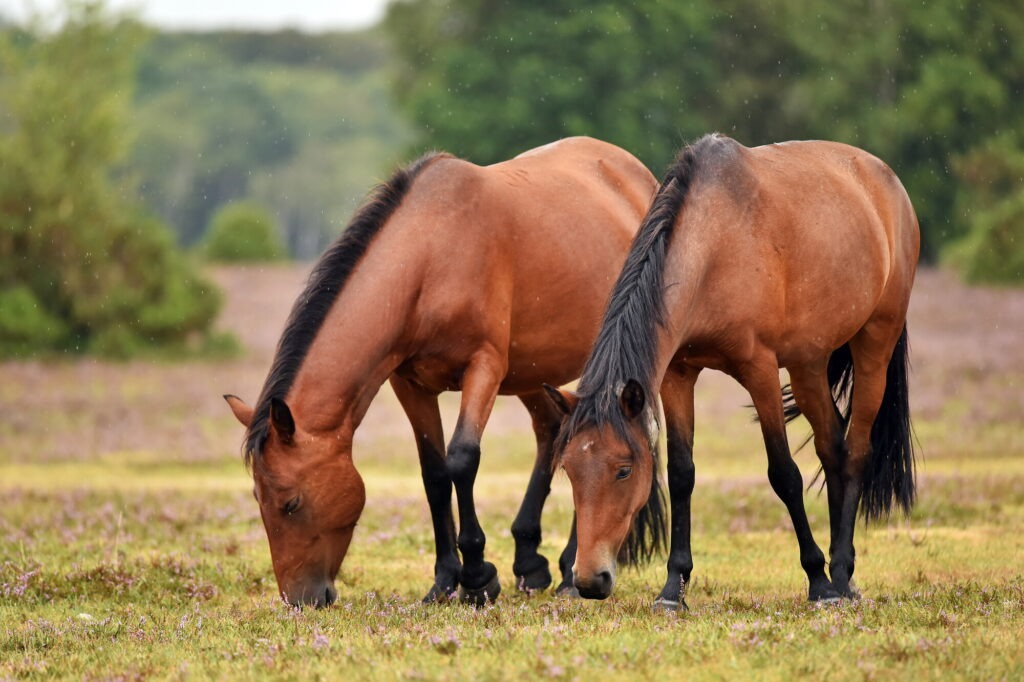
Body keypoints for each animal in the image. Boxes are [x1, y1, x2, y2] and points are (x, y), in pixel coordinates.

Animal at [224, 136, 659, 608]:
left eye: (291, 503)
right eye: (257, 498)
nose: (300, 599)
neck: (431, 257)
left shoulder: (483, 369)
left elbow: (462, 460)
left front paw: (478, 578)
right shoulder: (409, 383)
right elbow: (434, 473)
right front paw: (445, 580)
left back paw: (568, 572)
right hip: (530, 370)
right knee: (552, 430)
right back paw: (533, 563)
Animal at [546, 134, 919, 608]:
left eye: (623, 470)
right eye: (569, 469)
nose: (591, 581)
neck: (714, 244)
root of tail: (887, 180)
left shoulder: (759, 371)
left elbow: (784, 475)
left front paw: (816, 580)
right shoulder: (677, 376)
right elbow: (682, 474)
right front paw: (673, 588)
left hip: (875, 343)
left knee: (854, 452)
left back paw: (837, 574)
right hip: (808, 363)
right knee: (832, 448)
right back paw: (845, 576)